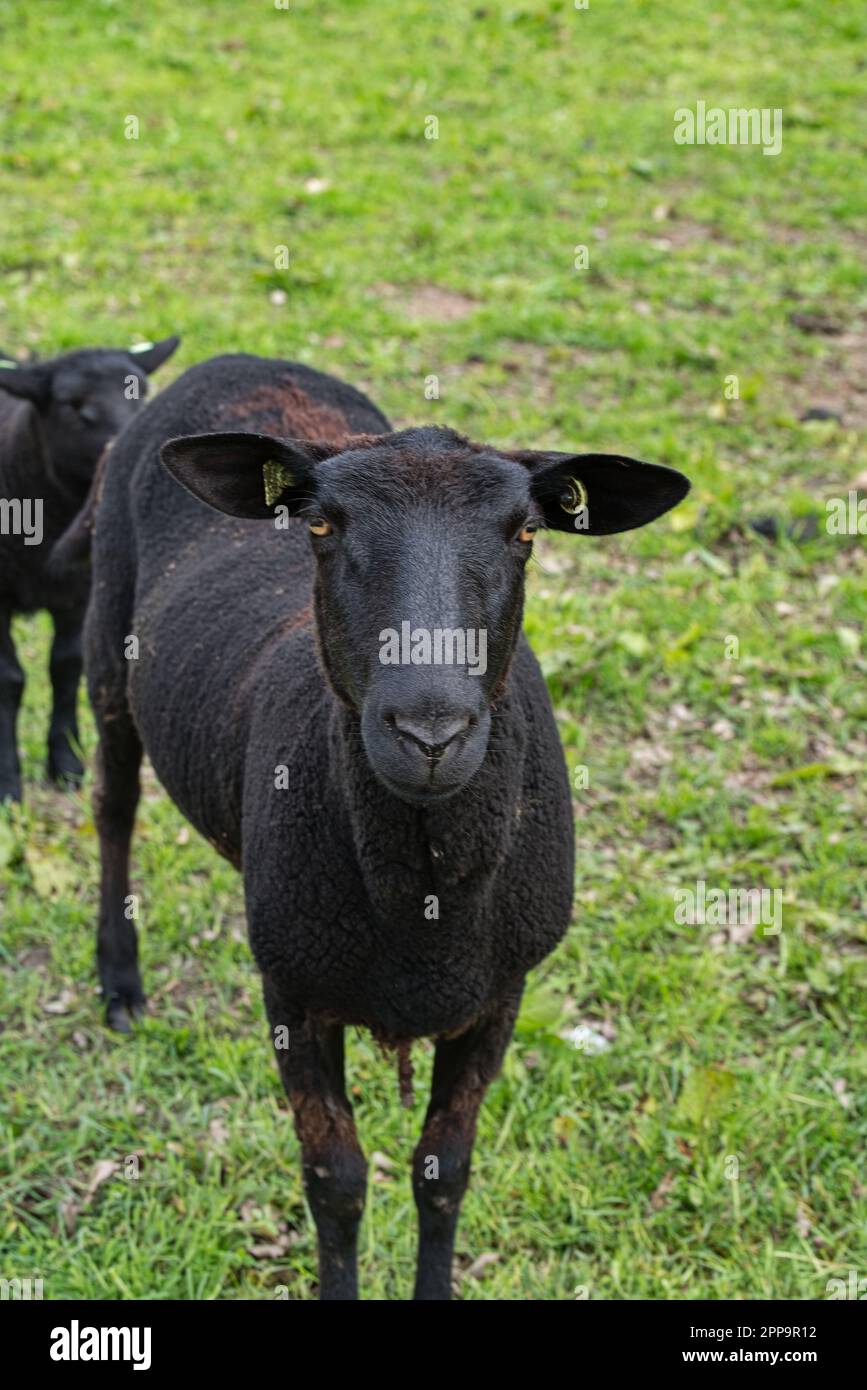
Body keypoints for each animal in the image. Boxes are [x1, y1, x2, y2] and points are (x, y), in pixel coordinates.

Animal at [0, 333, 179, 806]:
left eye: (142, 392)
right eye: (73, 405)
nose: (130, 447)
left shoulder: (77, 593)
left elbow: (65, 666)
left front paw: (65, 763)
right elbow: (10, 679)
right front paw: (8, 782)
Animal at [81, 353, 691, 1295]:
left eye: (524, 534)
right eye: (321, 525)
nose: (429, 732)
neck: (426, 897)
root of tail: (238, 359)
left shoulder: (500, 995)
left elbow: (444, 1172)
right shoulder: (294, 993)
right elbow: (334, 1182)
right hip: (108, 642)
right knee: (114, 806)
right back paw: (119, 977)